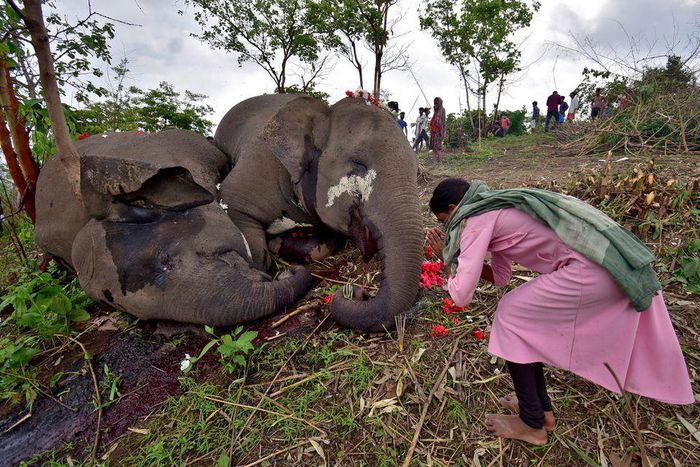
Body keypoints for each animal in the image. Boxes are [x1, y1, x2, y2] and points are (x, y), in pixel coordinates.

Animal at [34, 94, 423, 332]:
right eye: (357, 164)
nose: (357, 292)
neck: (321, 113)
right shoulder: (259, 166)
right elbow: (238, 209)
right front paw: (273, 260)